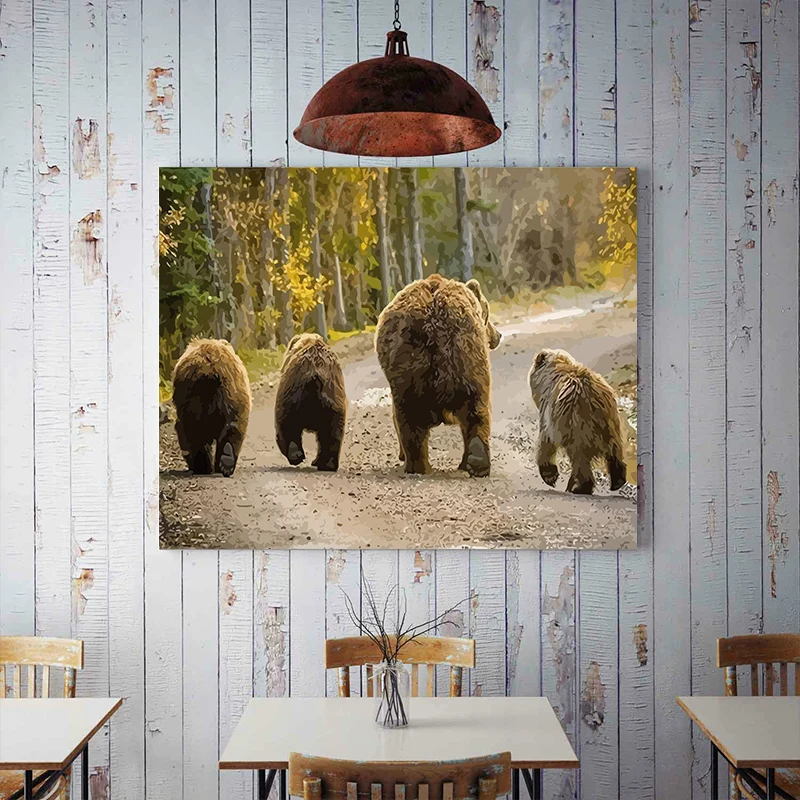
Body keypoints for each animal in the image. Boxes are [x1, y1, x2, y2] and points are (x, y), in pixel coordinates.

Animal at [172, 338, 252, 477]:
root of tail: (210, 369)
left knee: (192, 431)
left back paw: (204, 465)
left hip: (199, 395)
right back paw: (225, 460)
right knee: (233, 424)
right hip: (230, 392)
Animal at [274, 333, 347, 471]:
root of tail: (315, 374)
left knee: (286, 423)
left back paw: (295, 455)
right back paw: (327, 464)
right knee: (333, 432)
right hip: (333, 397)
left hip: (292, 391)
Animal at [375, 273, 503, 477]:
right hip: (468, 356)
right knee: (477, 409)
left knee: (410, 418)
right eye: (487, 314)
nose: (498, 335)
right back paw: (476, 464)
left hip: (412, 366)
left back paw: (418, 466)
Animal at [528, 348, 627, 495]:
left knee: (579, 457)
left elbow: (546, 441)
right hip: (610, 422)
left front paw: (549, 475)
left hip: (576, 422)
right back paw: (617, 481)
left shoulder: (549, 413)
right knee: (614, 449)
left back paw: (578, 487)